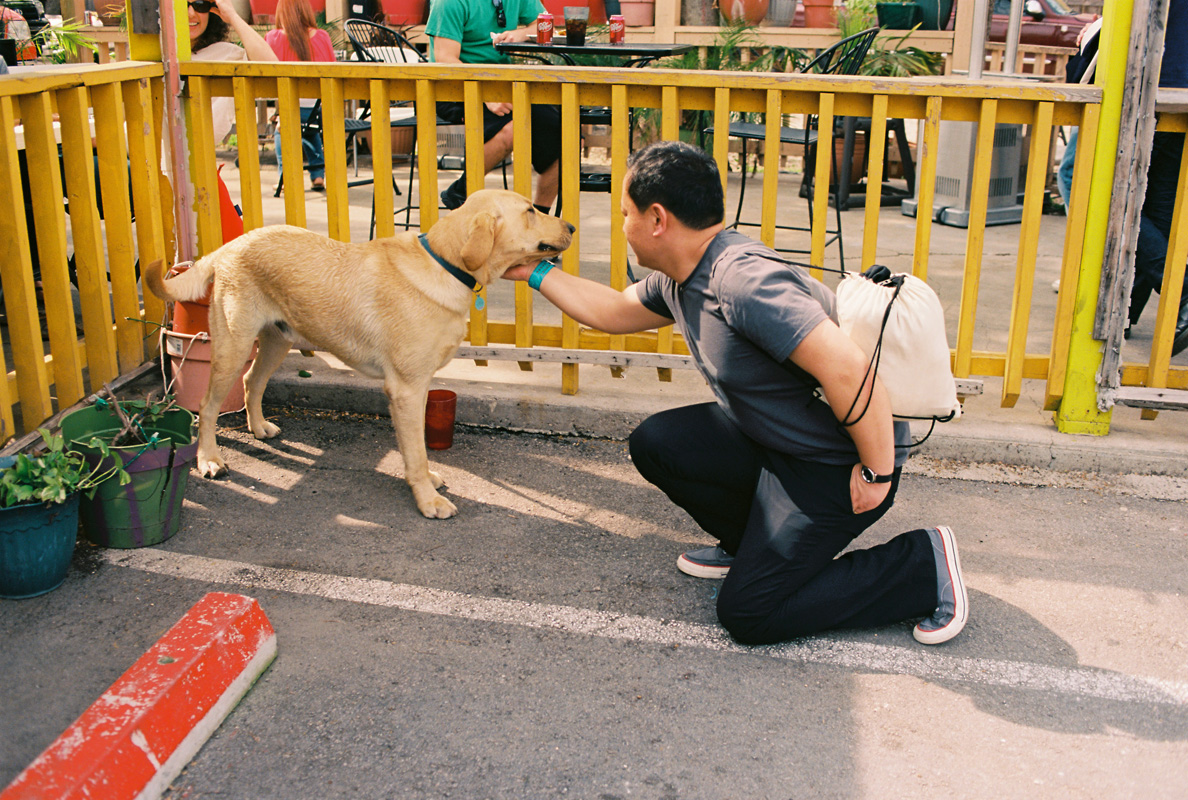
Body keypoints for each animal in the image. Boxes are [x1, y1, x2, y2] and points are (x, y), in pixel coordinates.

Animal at [146, 187, 572, 518]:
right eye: (531, 211)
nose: (570, 227)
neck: (446, 264)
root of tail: (232, 244)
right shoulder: (406, 389)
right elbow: (415, 452)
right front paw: (427, 499)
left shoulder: (419, 387)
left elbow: (418, 447)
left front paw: (427, 482)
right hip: (232, 348)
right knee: (207, 406)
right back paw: (209, 459)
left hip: (277, 341)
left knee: (253, 381)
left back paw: (259, 427)